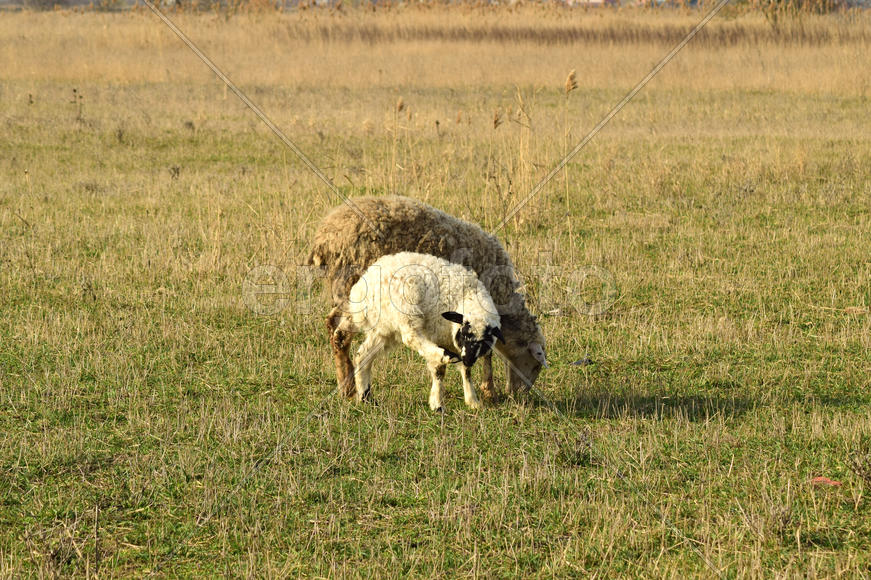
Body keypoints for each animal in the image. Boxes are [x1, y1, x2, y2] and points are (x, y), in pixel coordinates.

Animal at [340, 252, 504, 411]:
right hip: (406, 308)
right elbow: (439, 369)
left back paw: (365, 397)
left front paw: (472, 401)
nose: (468, 359)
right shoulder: (438, 335)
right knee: (410, 336)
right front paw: (437, 404)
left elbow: (466, 371)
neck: (466, 295)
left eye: (484, 342)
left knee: (362, 356)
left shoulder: (456, 344)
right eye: (464, 333)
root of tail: (361, 288)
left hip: (384, 329)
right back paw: (446, 355)